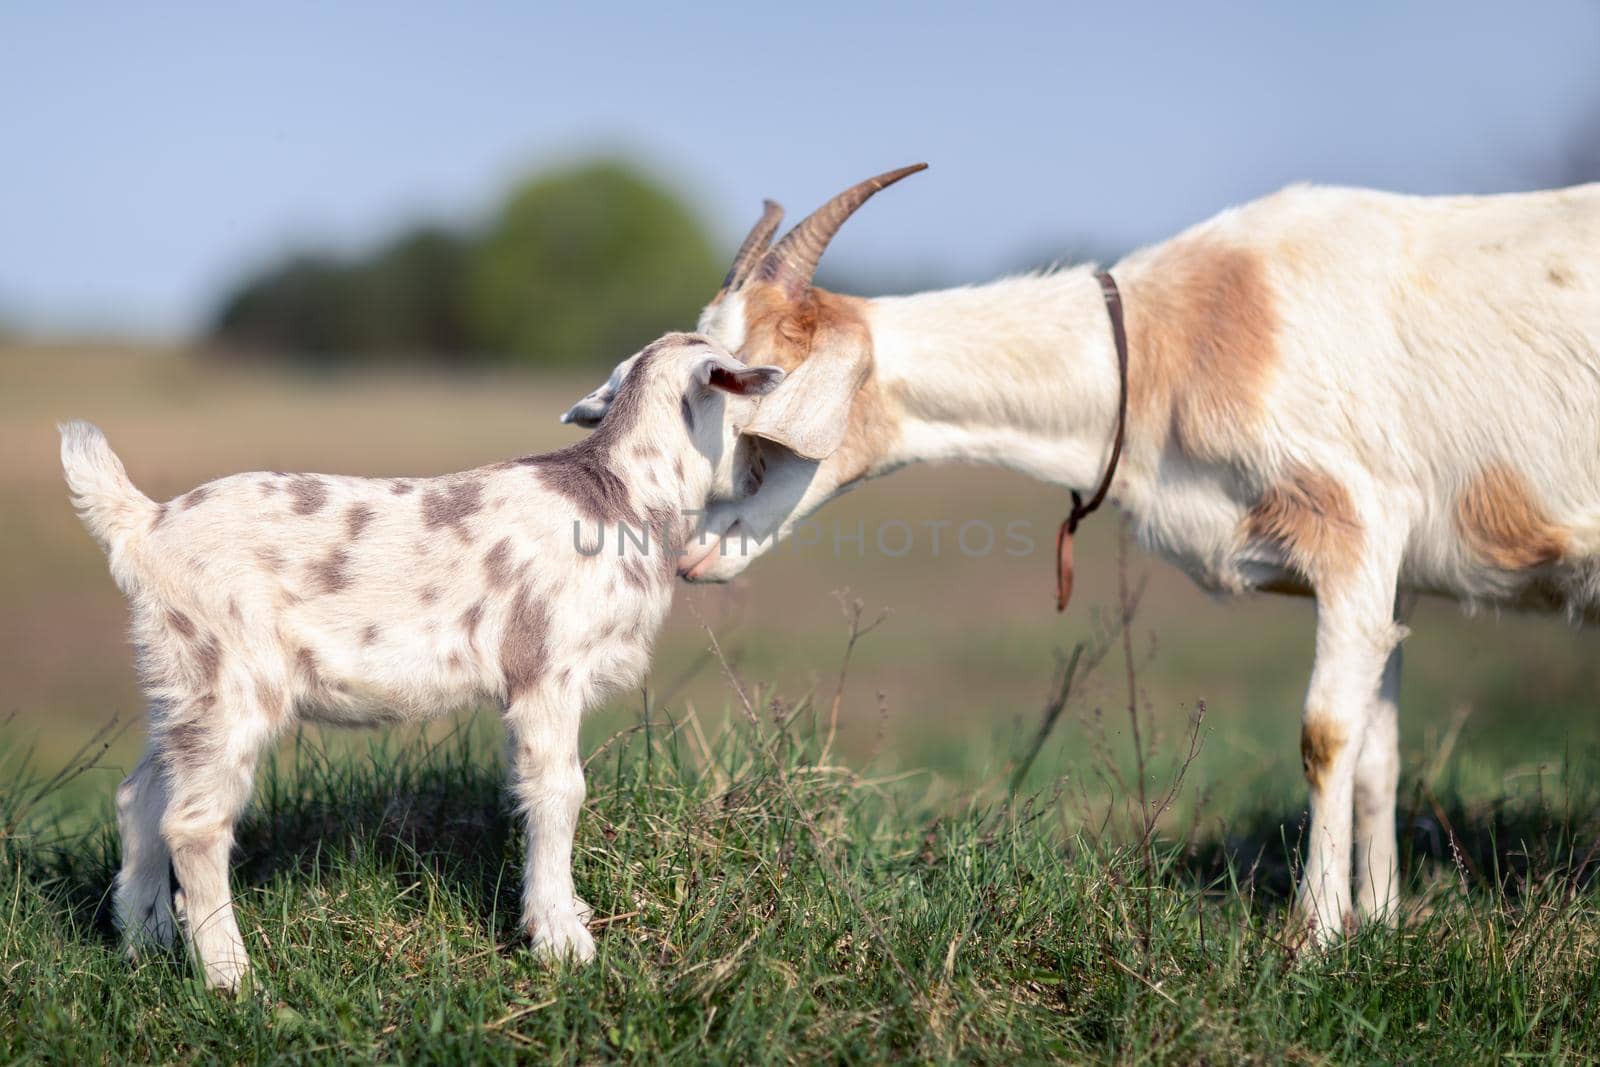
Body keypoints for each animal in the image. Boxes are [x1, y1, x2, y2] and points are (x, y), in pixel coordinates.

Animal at [60, 334, 780, 991]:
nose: (758, 477)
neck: (623, 494)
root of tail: (143, 525)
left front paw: (568, 912)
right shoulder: (547, 673)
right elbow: (559, 792)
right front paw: (561, 939)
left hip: (180, 683)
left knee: (142, 796)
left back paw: (146, 940)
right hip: (231, 682)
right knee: (193, 823)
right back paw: (232, 978)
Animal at [563, 164, 1600, 940]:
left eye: (746, 405)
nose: (692, 552)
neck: (1179, 337)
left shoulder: (1355, 523)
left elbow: (1326, 733)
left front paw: (1314, 939)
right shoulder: (1392, 572)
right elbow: (1381, 744)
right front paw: (1377, 922)